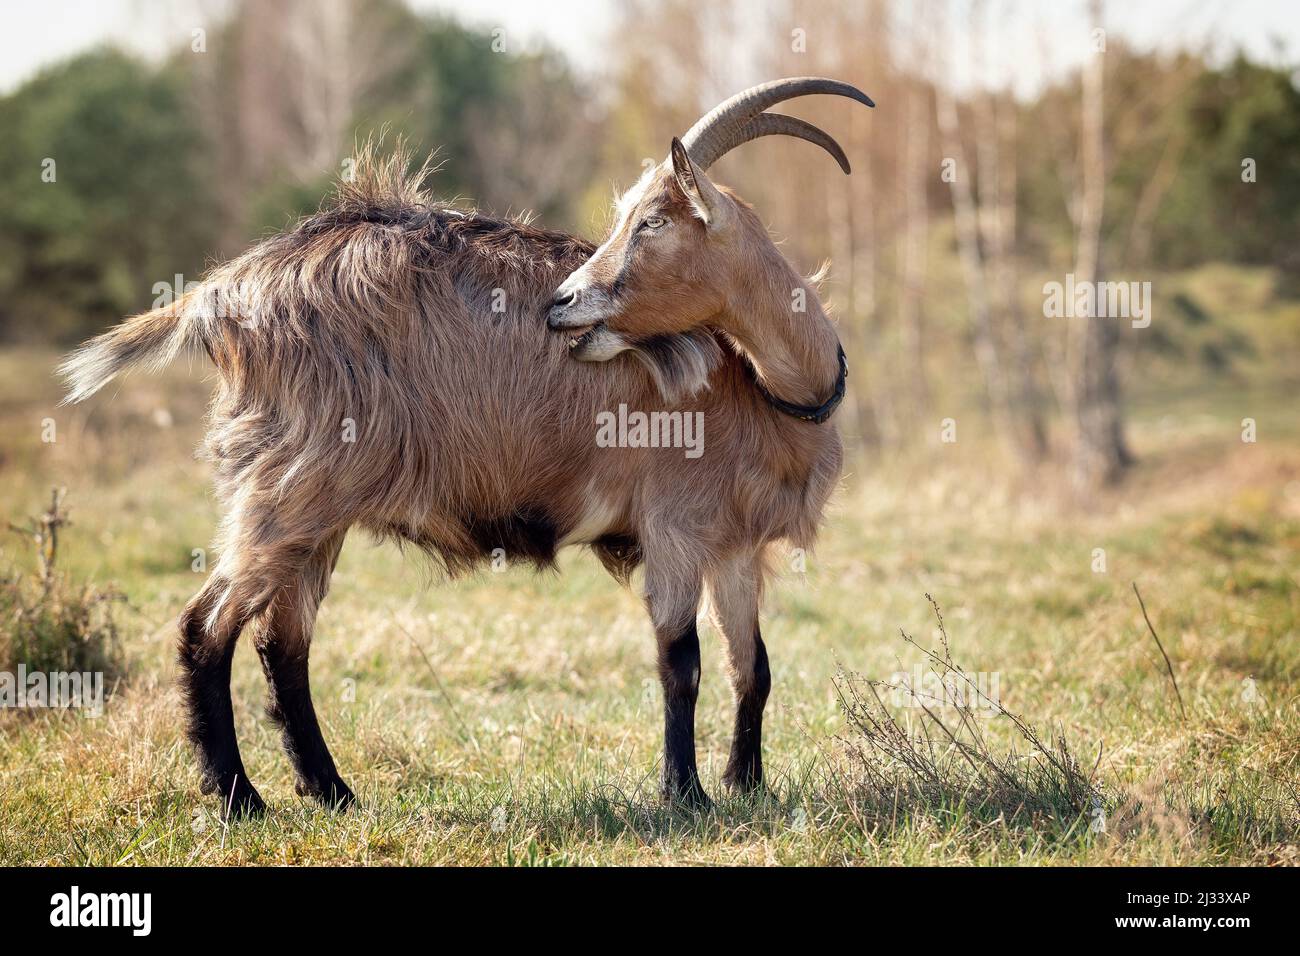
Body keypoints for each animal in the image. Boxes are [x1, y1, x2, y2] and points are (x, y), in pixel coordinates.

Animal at [60, 77, 874, 814]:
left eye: (651, 221)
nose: (562, 302)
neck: (763, 386)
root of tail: (219, 295)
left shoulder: (738, 546)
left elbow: (752, 667)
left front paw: (748, 784)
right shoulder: (673, 528)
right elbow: (683, 662)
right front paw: (688, 796)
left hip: (310, 509)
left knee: (281, 642)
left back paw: (333, 793)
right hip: (285, 491)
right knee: (207, 627)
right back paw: (239, 798)